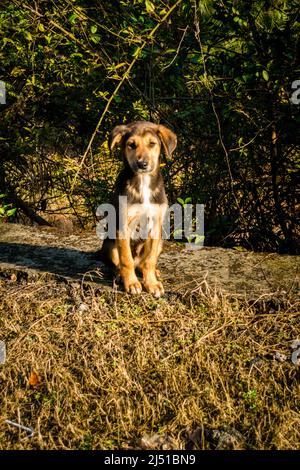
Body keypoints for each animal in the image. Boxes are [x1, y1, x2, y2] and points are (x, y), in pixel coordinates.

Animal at [99, 121, 177, 298]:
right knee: (119, 263)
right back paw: (120, 275)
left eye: (152, 144)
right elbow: (126, 259)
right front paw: (132, 283)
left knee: (143, 262)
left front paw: (152, 283)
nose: (142, 164)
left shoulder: (155, 226)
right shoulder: (123, 226)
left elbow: (149, 260)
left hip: (161, 242)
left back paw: (153, 272)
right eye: (131, 145)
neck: (143, 181)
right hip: (109, 244)